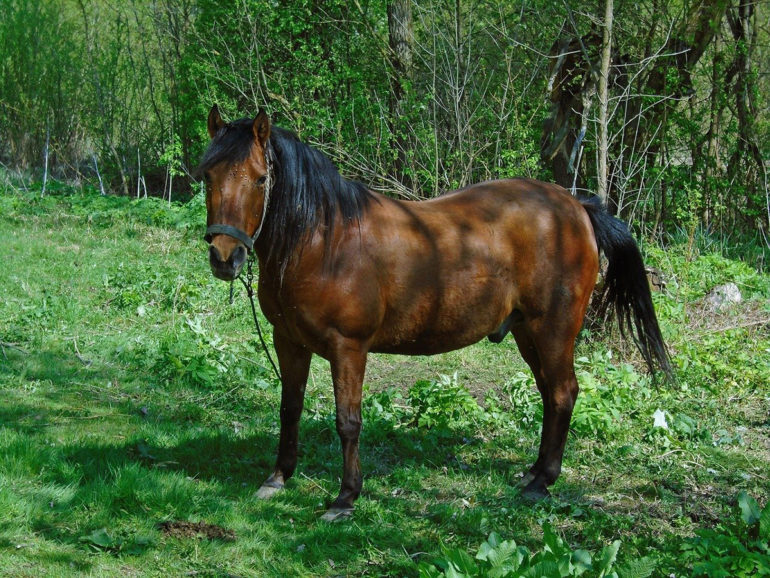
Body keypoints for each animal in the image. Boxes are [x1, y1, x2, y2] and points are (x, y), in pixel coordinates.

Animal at [200, 105, 671, 521]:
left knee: (562, 393)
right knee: (550, 394)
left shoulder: (347, 348)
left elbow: (348, 421)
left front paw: (346, 497)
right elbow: (289, 408)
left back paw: (543, 482)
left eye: (261, 179)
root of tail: (578, 209)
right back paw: (534, 472)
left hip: (553, 329)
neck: (323, 241)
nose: (225, 256)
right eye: (207, 175)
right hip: (527, 332)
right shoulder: (288, 341)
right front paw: (278, 477)